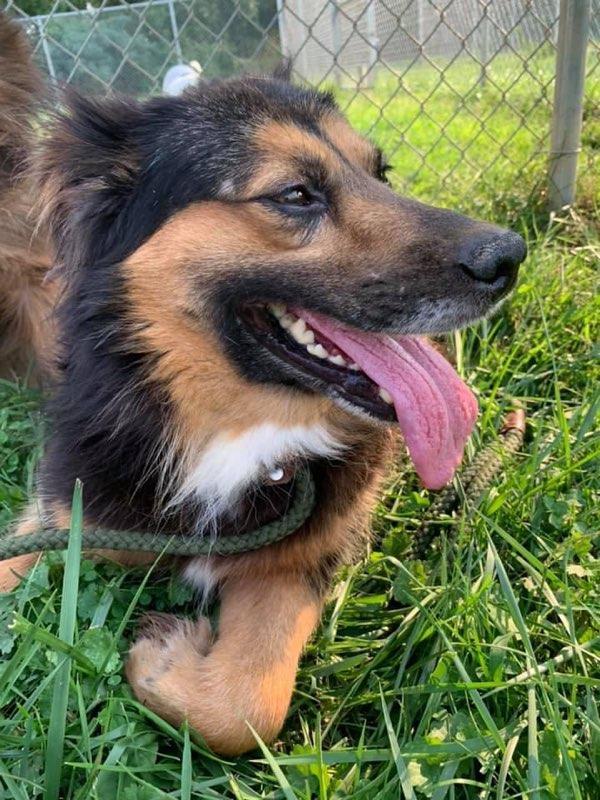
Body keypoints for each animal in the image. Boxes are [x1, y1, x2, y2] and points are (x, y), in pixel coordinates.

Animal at [0, 14, 524, 756]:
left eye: (381, 172)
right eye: (296, 194)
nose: (510, 257)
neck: (229, 426)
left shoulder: (306, 553)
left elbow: (245, 706)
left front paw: (162, 653)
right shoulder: (57, 517)